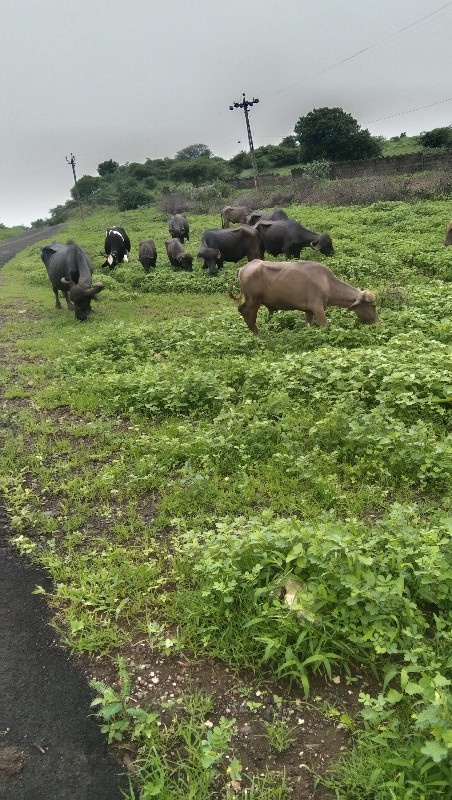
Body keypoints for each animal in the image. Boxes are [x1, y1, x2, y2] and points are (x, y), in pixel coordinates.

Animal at [228, 256, 380, 332]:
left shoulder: (309, 311)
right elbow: (326, 326)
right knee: (249, 317)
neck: (327, 283)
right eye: (373, 306)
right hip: (254, 301)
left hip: (250, 300)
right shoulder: (318, 309)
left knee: (241, 309)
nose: (376, 322)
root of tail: (244, 267)